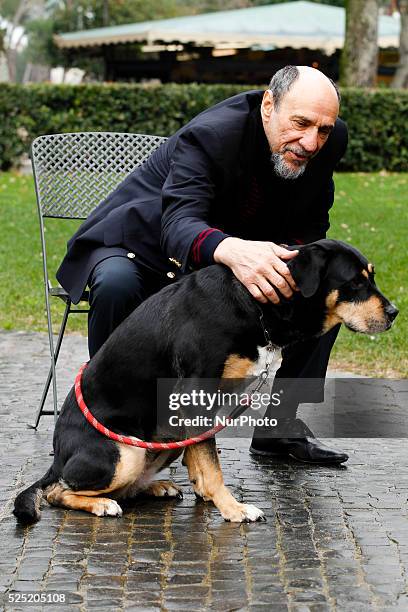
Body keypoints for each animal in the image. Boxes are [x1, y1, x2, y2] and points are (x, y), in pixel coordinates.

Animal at [14, 237, 396, 524]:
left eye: (372, 277)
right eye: (355, 282)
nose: (394, 313)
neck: (255, 303)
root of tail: (57, 459)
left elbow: (201, 458)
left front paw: (210, 496)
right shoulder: (195, 393)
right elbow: (212, 466)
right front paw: (233, 508)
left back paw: (154, 487)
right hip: (124, 452)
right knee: (57, 491)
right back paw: (101, 503)